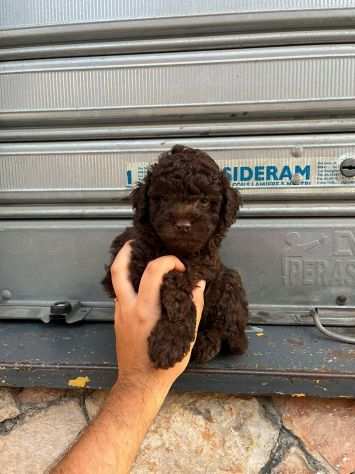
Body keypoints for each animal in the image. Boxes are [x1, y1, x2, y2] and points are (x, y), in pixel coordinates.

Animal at [101, 146, 249, 368]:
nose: (183, 224)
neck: (176, 250)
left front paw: (169, 341)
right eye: (164, 198)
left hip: (230, 282)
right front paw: (171, 339)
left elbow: (181, 276)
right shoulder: (132, 254)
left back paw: (207, 343)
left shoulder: (206, 262)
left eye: (204, 201)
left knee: (229, 333)